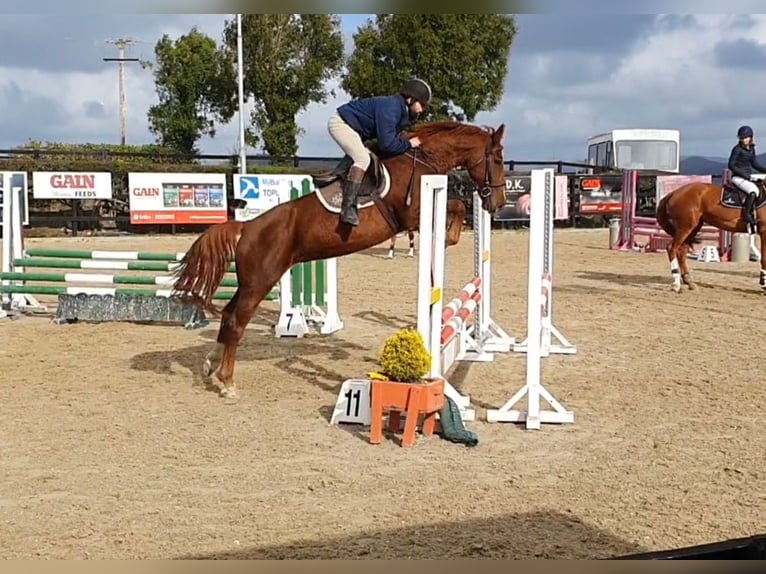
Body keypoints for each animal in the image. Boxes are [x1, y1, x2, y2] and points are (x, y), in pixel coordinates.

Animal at [173, 120, 510, 400]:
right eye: (497, 159)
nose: (498, 203)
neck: (421, 159)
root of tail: (247, 227)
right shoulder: (411, 215)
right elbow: (456, 206)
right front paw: (447, 237)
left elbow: (456, 207)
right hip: (260, 281)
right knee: (236, 322)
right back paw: (227, 383)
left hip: (250, 282)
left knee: (228, 316)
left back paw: (211, 367)